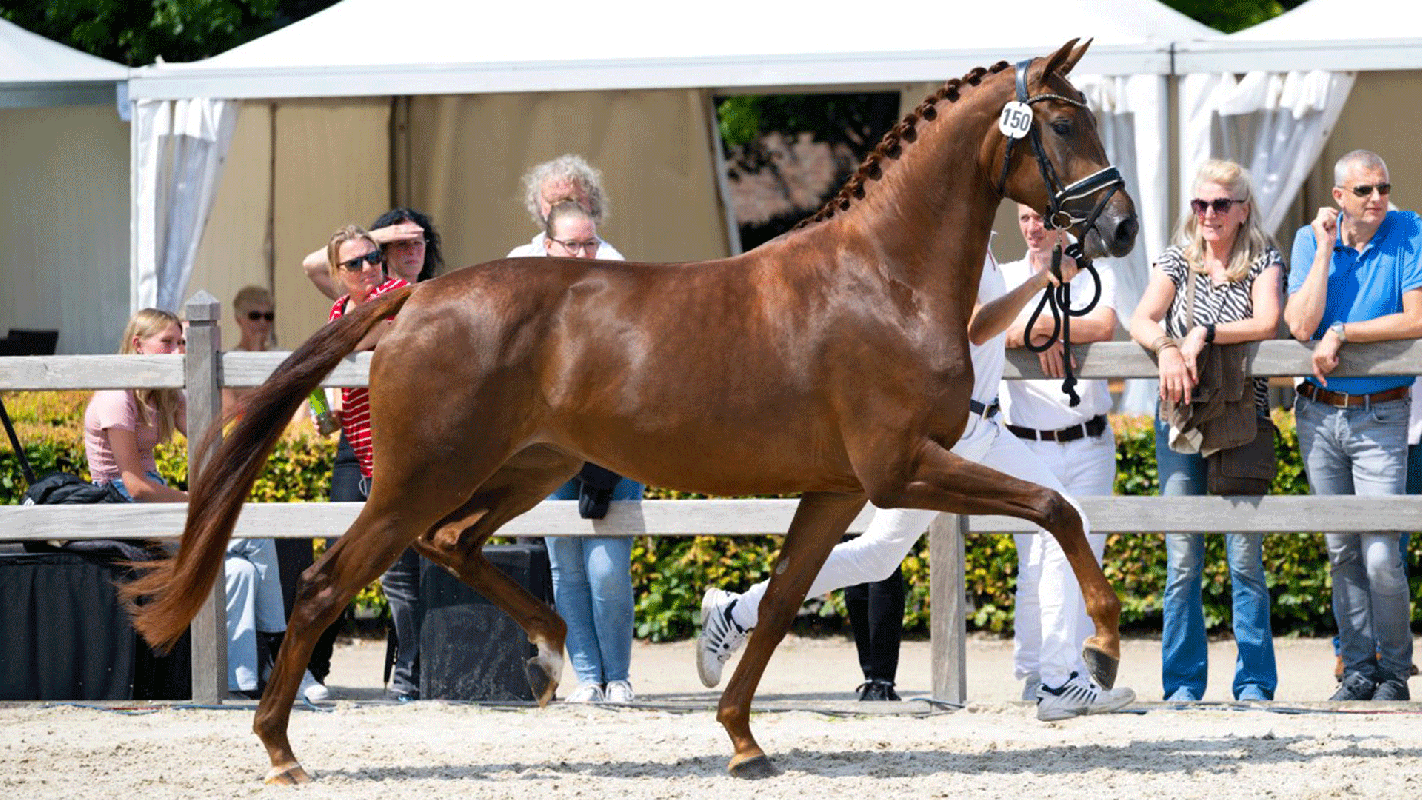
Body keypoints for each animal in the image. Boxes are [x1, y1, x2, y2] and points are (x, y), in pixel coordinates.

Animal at [124, 38, 1137, 783]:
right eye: (1063, 122)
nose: (1121, 227)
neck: (881, 277)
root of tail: (412, 297)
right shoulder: (901, 468)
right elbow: (1055, 506)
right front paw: (1102, 651)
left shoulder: (841, 489)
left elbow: (779, 602)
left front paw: (743, 740)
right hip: (424, 476)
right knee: (331, 581)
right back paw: (281, 750)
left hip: (527, 467)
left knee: (452, 544)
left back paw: (548, 655)